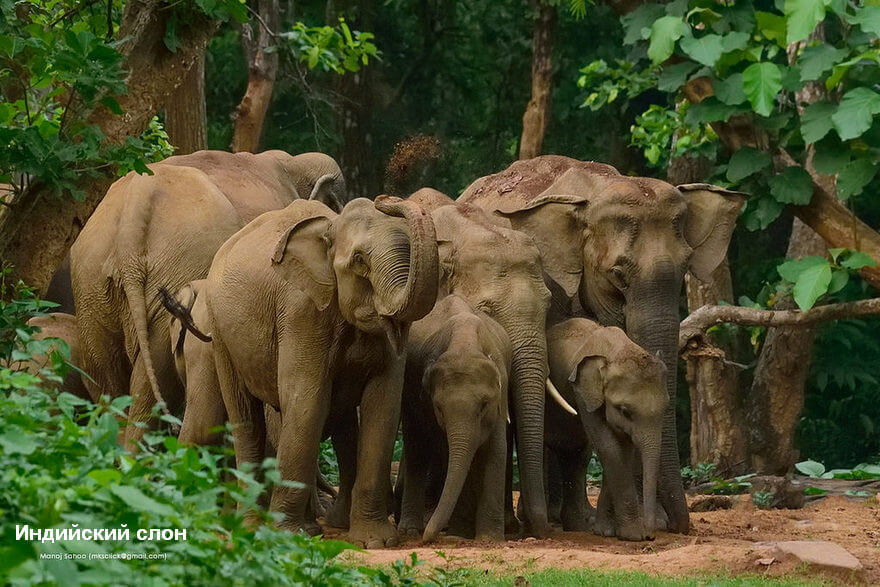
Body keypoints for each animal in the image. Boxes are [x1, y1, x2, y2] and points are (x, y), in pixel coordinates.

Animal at [70, 148, 346, 446]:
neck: (292, 163)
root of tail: (135, 206)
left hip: (91, 284)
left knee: (107, 379)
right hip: (174, 267)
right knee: (156, 379)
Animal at [398, 294, 508, 544]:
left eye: (484, 405)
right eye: (439, 407)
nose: (427, 538)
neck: (464, 343)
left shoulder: (502, 391)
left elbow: (496, 450)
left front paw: (489, 539)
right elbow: (447, 451)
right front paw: (460, 534)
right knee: (416, 447)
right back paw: (409, 530)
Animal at [544, 322, 668, 544]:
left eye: (666, 408)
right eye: (625, 411)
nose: (650, 536)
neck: (617, 351)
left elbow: (623, 450)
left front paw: (606, 531)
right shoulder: (583, 393)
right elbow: (609, 447)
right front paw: (632, 535)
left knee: (577, 452)